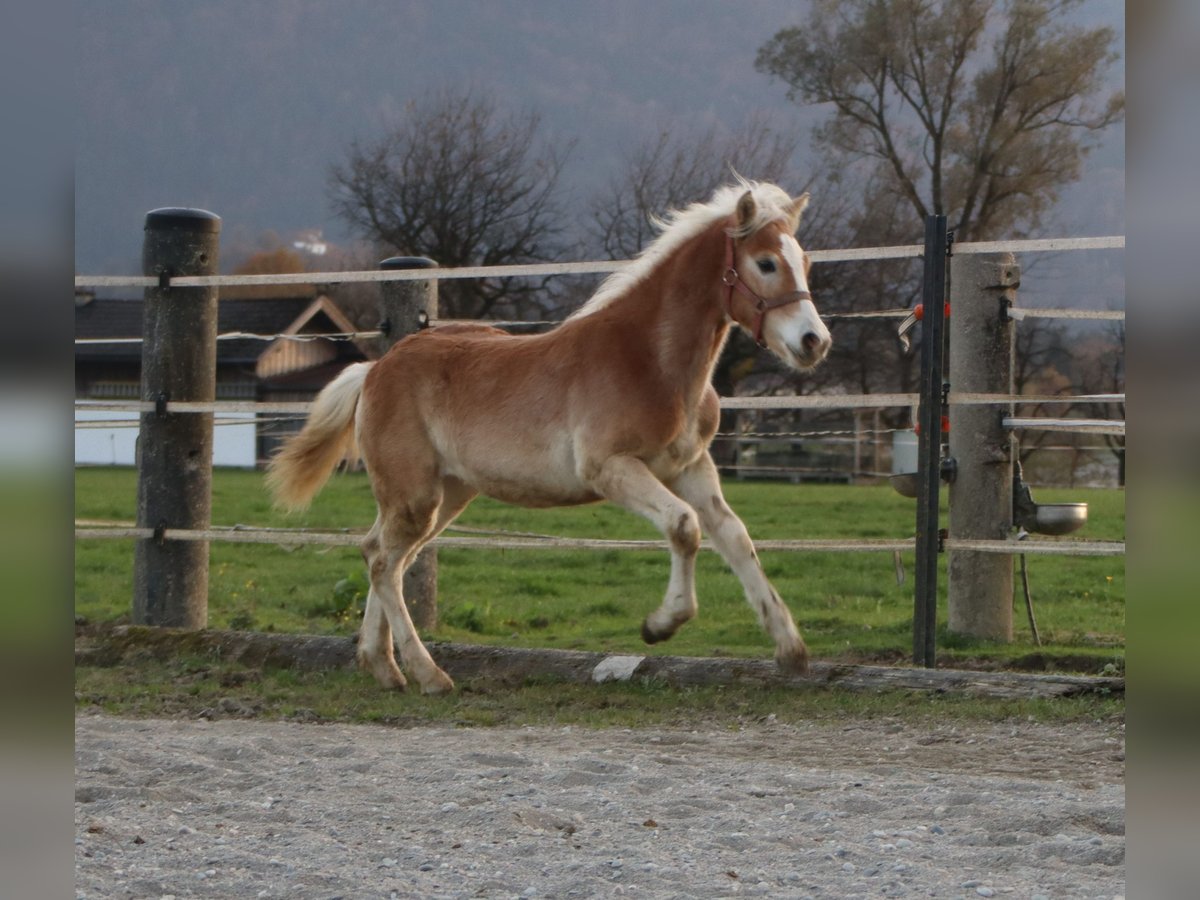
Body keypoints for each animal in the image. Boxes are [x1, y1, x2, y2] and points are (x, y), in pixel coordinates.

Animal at [266, 177, 830, 696]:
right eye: (765, 263)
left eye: (803, 261)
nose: (814, 342)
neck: (650, 360)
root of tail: (375, 369)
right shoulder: (610, 468)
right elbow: (684, 527)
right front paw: (659, 625)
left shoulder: (690, 466)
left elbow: (734, 537)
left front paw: (791, 650)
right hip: (415, 494)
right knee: (384, 562)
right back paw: (429, 675)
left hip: (446, 494)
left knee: (380, 555)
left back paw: (381, 666)